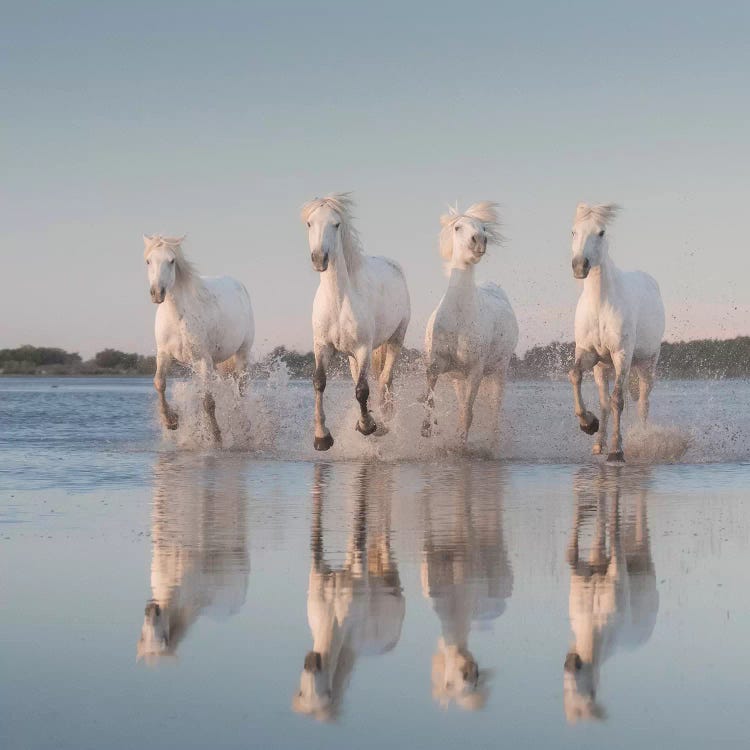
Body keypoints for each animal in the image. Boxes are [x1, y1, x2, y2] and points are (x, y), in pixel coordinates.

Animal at [144, 235, 256, 444]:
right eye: (148, 261)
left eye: (172, 261)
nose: (157, 293)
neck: (178, 316)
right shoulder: (164, 354)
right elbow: (159, 384)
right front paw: (171, 421)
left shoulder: (204, 360)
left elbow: (208, 402)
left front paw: (217, 436)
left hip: (242, 353)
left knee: (242, 390)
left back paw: (244, 428)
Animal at [302, 195, 414, 452]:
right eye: (310, 223)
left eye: (336, 224)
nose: (319, 259)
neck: (339, 300)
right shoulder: (322, 346)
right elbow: (319, 382)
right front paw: (322, 437)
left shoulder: (364, 348)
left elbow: (362, 390)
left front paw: (368, 426)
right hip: (352, 355)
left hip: (396, 338)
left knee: (384, 379)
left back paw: (383, 420)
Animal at [426, 203, 520, 444]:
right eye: (458, 227)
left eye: (483, 227)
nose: (479, 240)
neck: (459, 317)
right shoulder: (439, 364)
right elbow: (430, 393)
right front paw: (426, 427)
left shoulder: (475, 371)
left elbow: (468, 413)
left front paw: (461, 443)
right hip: (458, 378)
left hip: (498, 371)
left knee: (494, 410)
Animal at [568, 206, 668, 464]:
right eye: (574, 231)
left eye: (601, 232)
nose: (580, 266)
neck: (599, 305)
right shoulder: (588, 353)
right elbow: (575, 375)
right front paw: (588, 424)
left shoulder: (621, 355)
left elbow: (618, 400)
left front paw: (616, 450)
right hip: (602, 368)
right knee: (604, 402)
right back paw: (598, 443)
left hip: (646, 363)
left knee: (643, 402)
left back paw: (641, 436)